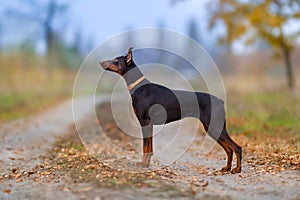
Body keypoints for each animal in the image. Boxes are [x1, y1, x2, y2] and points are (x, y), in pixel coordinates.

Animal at [99, 47, 243, 173]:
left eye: (116, 60)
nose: (100, 62)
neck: (139, 86)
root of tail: (220, 101)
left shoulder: (145, 122)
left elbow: (145, 146)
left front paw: (143, 164)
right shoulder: (149, 124)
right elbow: (150, 147)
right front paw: (147, 164)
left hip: (215, 126)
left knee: (237, 147)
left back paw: (237, 169)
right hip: (211, 127)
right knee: (229, 149)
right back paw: (226, 168)